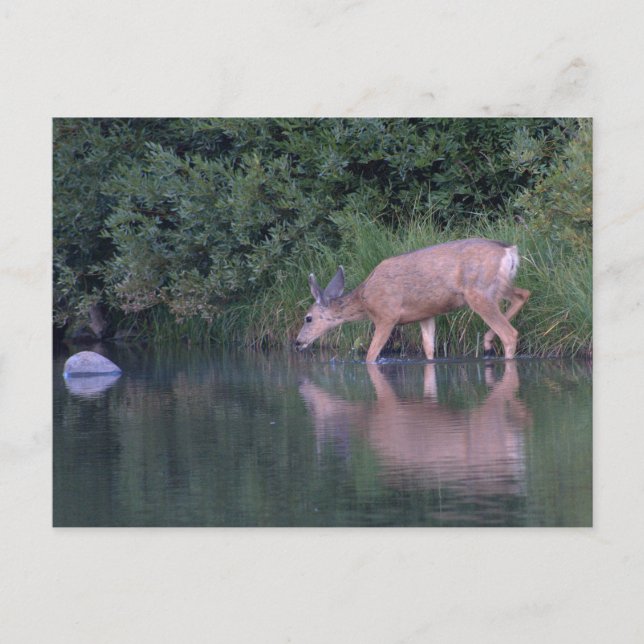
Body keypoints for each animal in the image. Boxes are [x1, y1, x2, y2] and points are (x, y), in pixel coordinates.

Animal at [294, 238, 530, 362]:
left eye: (308, 318)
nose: (297, 342)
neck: (364, 300)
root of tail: (508, 251)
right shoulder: (426, 315)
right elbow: (429, 349)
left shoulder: (386, 316)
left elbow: (371, 354)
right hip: (498, 287)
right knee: (523, 294)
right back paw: (488, 342)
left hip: (478, 292)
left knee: (509, 333)